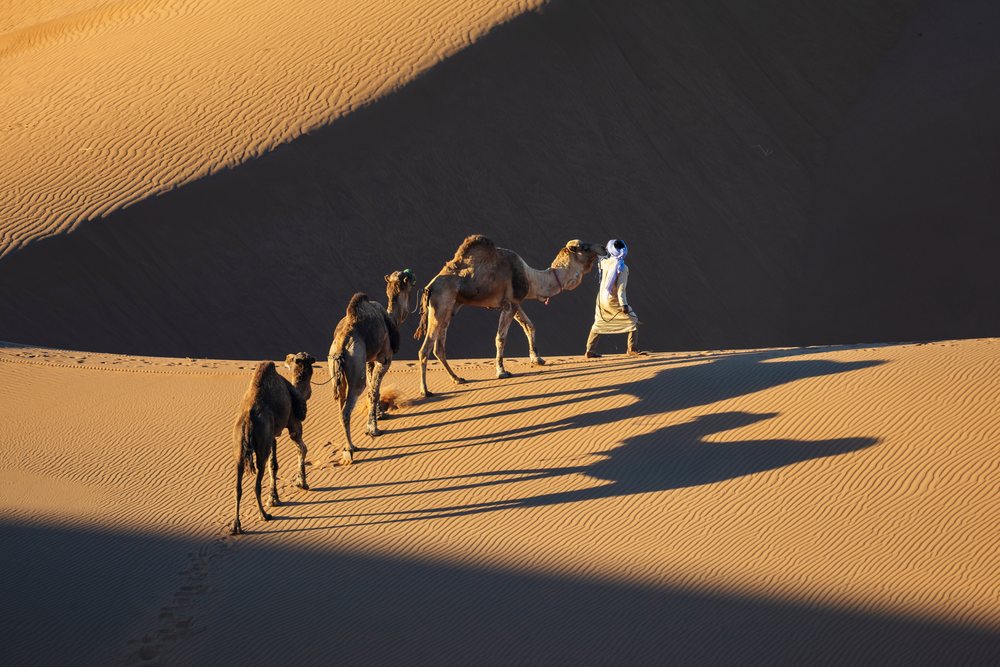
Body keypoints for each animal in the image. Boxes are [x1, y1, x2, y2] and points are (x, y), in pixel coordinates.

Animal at [230, 352, 316, 535]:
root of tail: (247, 422)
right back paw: (264, 515)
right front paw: (302, 483)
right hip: (261, 446)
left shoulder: (272, 437)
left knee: (238, 487)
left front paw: (274, 498)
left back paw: (236, 525)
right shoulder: (293, 424)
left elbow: (274, 465)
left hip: (239, 450)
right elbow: (302, 448)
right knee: (256, 484)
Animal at [328, 269, 416, 466]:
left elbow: (372, 390)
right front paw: (373, 429)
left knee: (340, 405)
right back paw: (350, 448)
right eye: (407, 279)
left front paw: (379, 415)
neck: (392, 318)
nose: (413, 275)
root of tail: (341, 346)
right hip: (355, 366)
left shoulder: (369, 360)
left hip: (336, 370)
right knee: (347, 408)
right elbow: (374, 391)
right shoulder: (384, 359)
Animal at [414, 235, 600, 397]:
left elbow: (529, 326)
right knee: (425, 349)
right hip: (440, 305)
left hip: (451, 307)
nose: (603, 248)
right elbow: (501, 338)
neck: (532, 278)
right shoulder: (510, 303)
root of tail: (429, 287)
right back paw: (425, 391)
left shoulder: (515, 302)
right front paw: (502, 371)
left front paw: (537, 359)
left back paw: (457, 378)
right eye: (585, 247)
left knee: (439, 347)